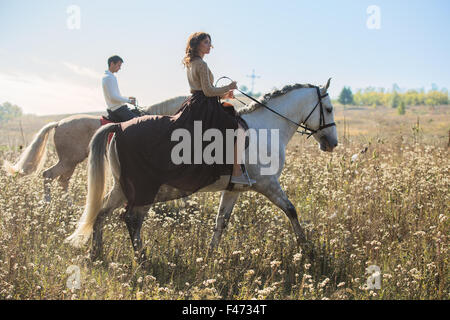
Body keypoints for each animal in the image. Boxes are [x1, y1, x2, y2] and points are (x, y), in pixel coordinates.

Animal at [65, 79, 336, 260]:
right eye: (330, 109)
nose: (332, 143)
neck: (268, 128)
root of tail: (119, 128)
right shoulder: (268, 184)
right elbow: (291, 210)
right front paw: (306, 248)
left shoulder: (234, 189)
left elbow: (221, 221)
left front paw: (210, 254)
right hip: (142, 189)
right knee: (132, 219)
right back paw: (142, 258)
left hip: (122, 187)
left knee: (101, 214)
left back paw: (97, 254)